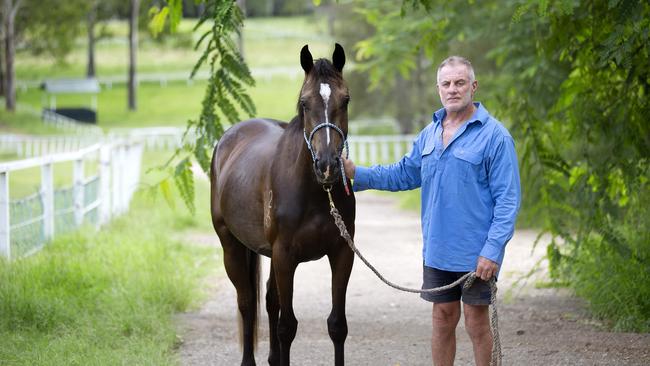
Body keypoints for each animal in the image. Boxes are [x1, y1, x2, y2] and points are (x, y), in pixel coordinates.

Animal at [209, 45, 354, 366]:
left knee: (269, 300)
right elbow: (287, 327)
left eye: (346, 99)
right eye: (304, 102)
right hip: (232, 246)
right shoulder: (286, 256)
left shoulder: (342, 254)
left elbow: (337, 325)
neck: (314, 193)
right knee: (247, 302)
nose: (327, 165)